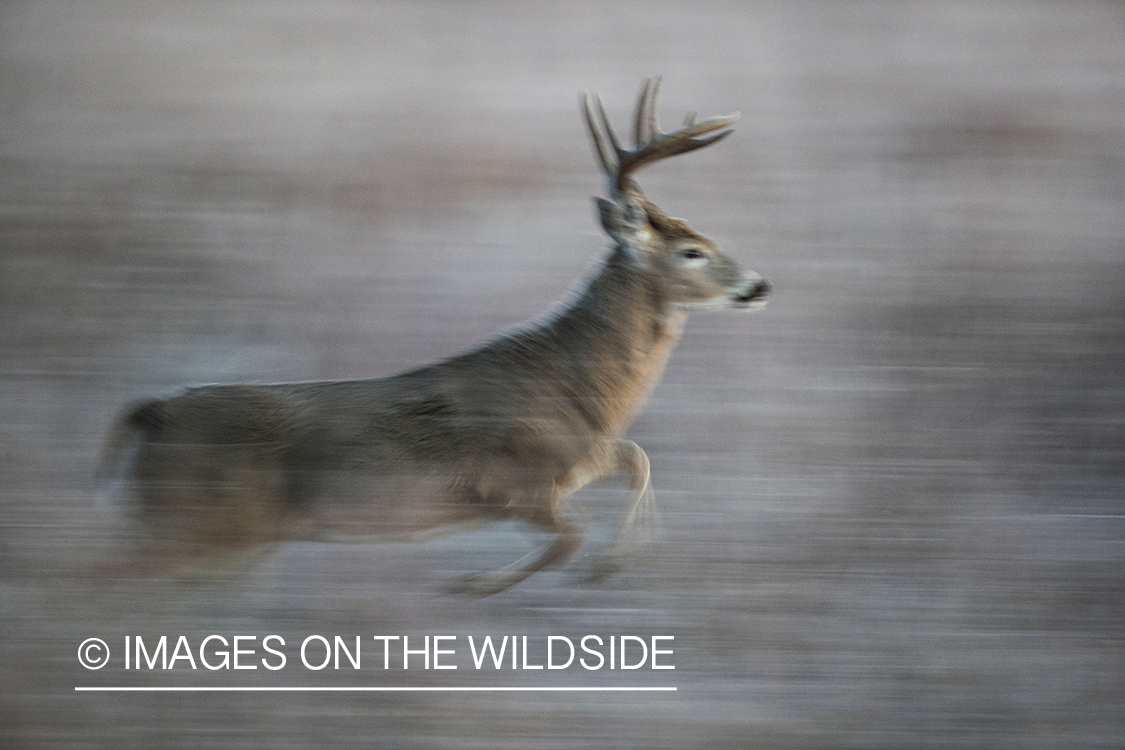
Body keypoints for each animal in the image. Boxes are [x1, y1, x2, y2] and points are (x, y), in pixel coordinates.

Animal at [96, 79, 769, 593]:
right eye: (692, 251)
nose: (759, 284)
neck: (580, 391)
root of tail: (154, 412)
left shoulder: (579, 460)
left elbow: (634, 458)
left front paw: (622, 556)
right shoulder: (507, 481)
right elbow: (576, 529)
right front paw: (493, 582)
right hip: (198, 520)